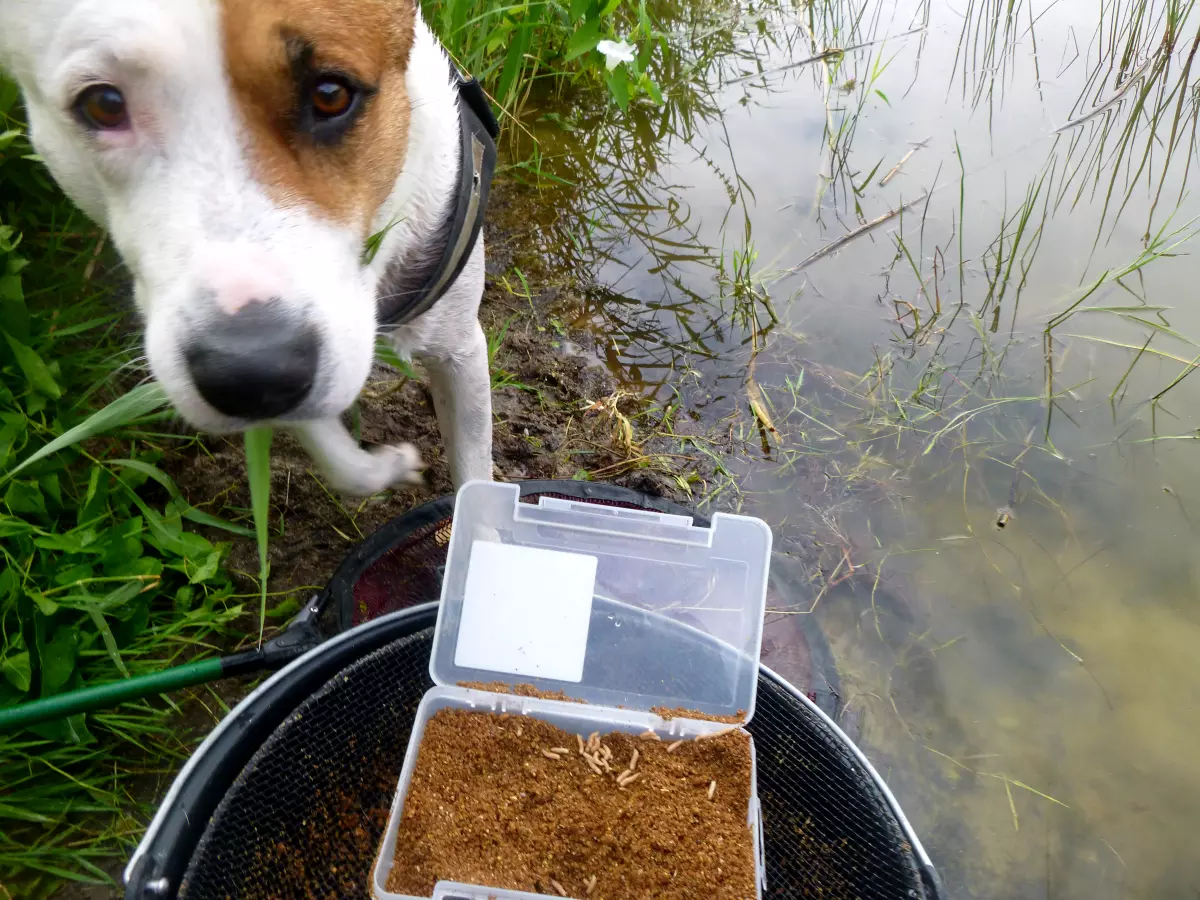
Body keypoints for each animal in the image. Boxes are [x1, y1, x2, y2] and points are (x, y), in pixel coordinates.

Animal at [0, 0, 494, 494]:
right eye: (103, 104)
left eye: (331, 93)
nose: (252, 372)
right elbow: (339, 460)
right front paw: (388, 467)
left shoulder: (461, 351)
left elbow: (475, 476)